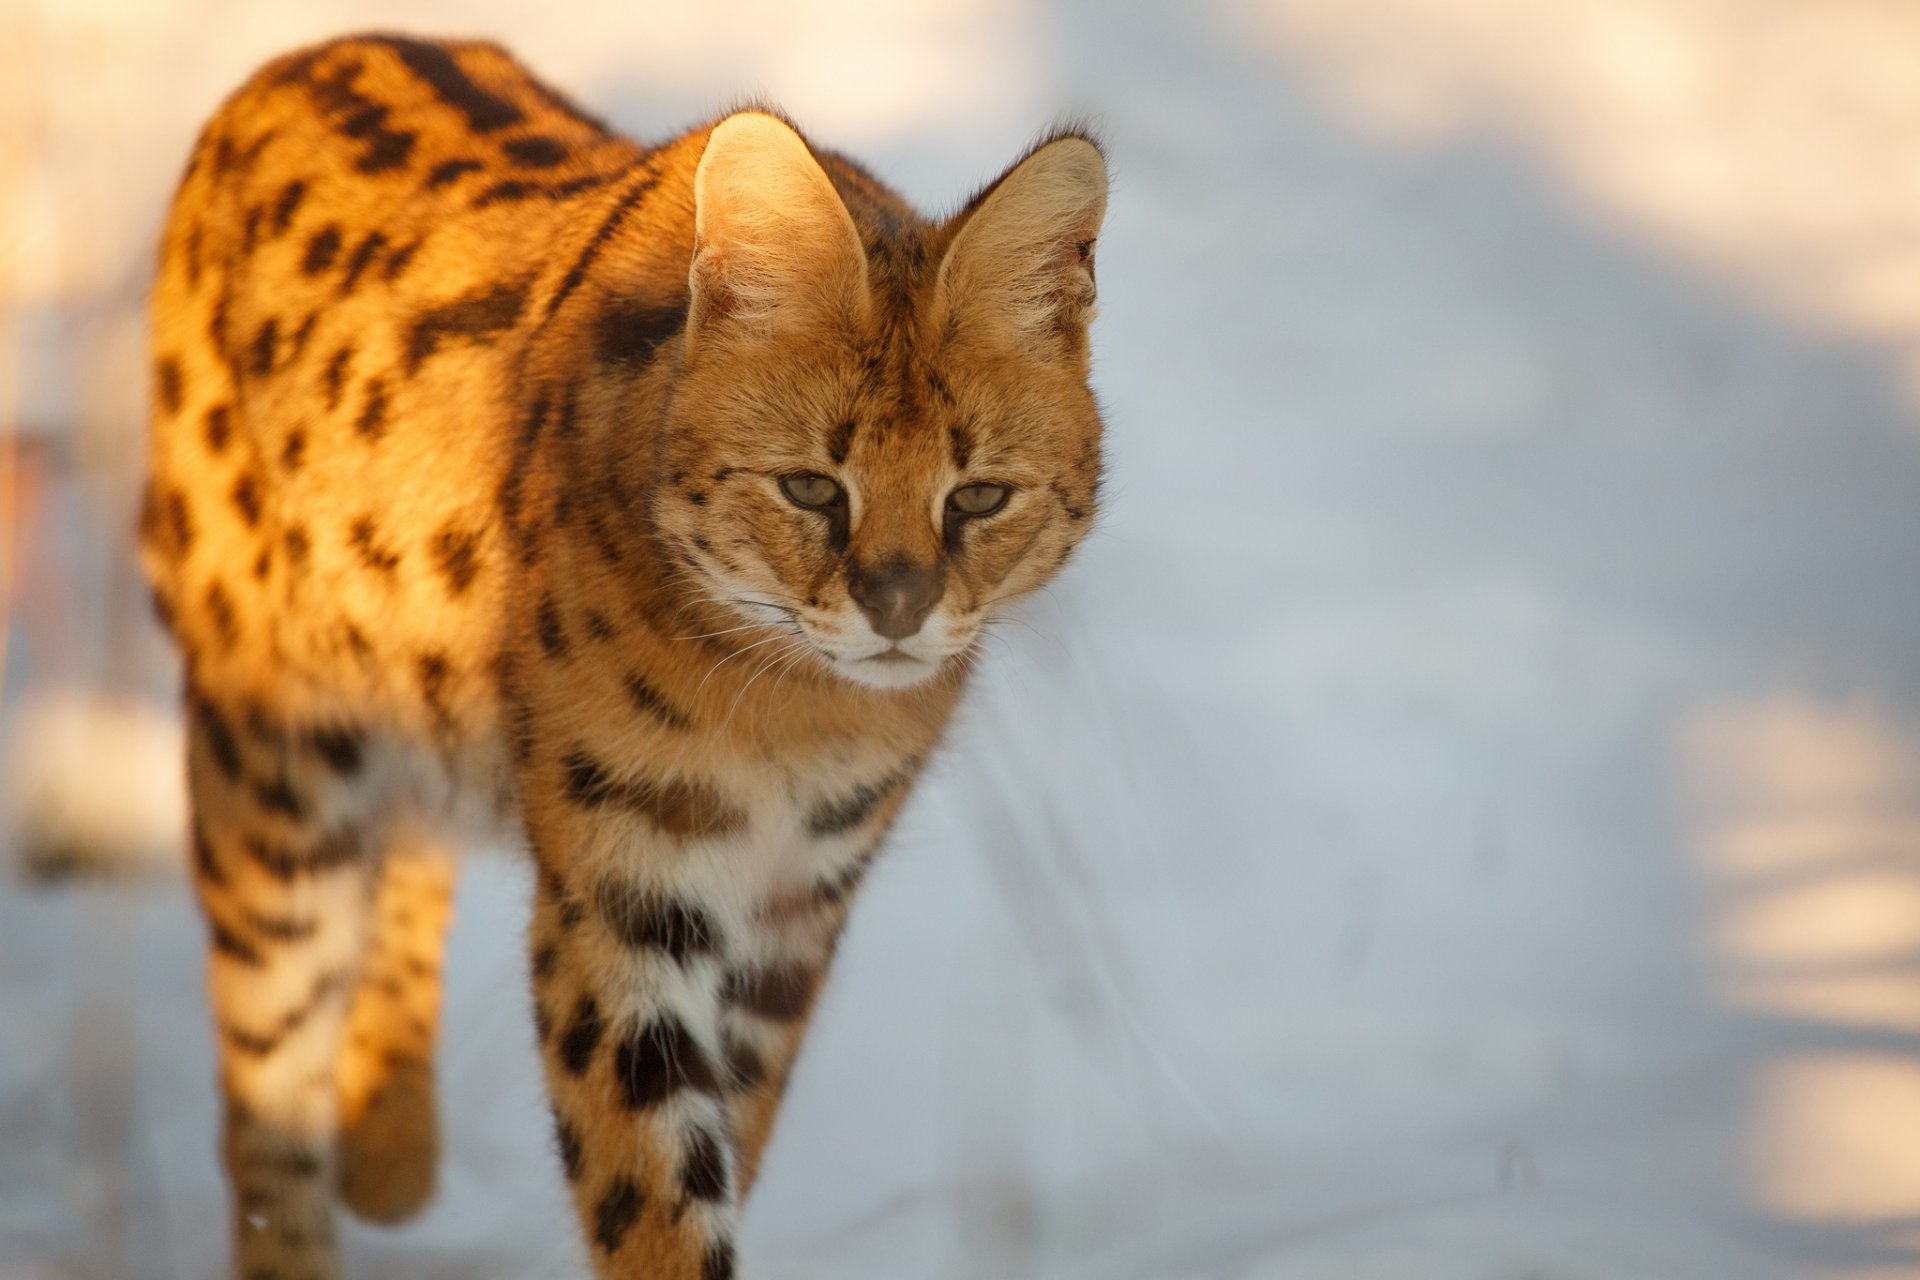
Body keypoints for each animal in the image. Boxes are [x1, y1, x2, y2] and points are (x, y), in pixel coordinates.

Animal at [142, 32, 1113, 1280]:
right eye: (812, 486)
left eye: (979, 495)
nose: (898, 606)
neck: (796, 717)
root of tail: (318, 48)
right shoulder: (624, 887)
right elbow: (649, 1186)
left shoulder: (794, 904)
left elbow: (725, 1141)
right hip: (273, 765)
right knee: (265, 1106)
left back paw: (391, 1145)